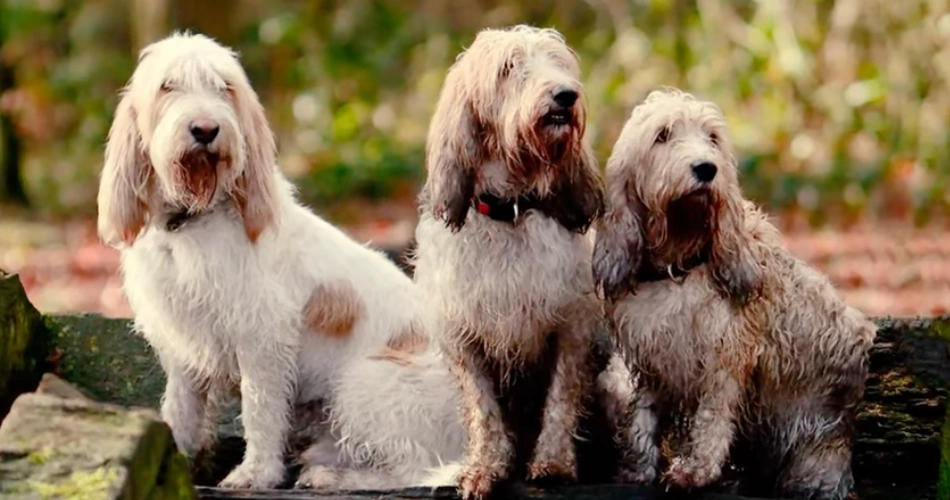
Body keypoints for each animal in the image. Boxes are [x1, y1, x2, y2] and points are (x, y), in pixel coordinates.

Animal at [97, 33, 468, 490]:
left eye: (225, 87)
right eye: (168, 86)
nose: (206, 129)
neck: (193, 222)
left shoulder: (262, 339)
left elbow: (259, 409)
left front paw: (255, 473)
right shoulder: (182, 341)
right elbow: (181, 407)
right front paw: (175, 458)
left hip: (363, 383)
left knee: (419, 470)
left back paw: (334, 478)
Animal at [414, 25, 608, 498]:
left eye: (559, 62)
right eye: (508, 68)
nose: (565, 96)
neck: (512, 210)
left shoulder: (571, 327)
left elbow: (560, 400)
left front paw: (553, 464)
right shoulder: (464, 339)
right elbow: (484, 411)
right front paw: (484, 468)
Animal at [596, 88, 876, 498]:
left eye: (712, 137)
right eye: (662, 135)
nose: (706, 169)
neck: (680, 263)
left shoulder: (724, 358)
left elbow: (712, 418)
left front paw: (696, 472)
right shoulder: (652, 356)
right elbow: (642, 418)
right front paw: (638, 469)